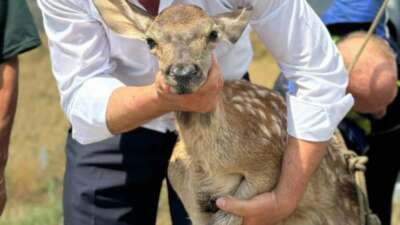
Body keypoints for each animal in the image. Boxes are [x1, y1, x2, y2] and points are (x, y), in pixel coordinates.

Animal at [94, 0, 366, 224]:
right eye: (150, 41)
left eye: (212, 34)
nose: (183, 71)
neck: (213, 166)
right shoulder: (186, 190)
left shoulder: (265, 170)